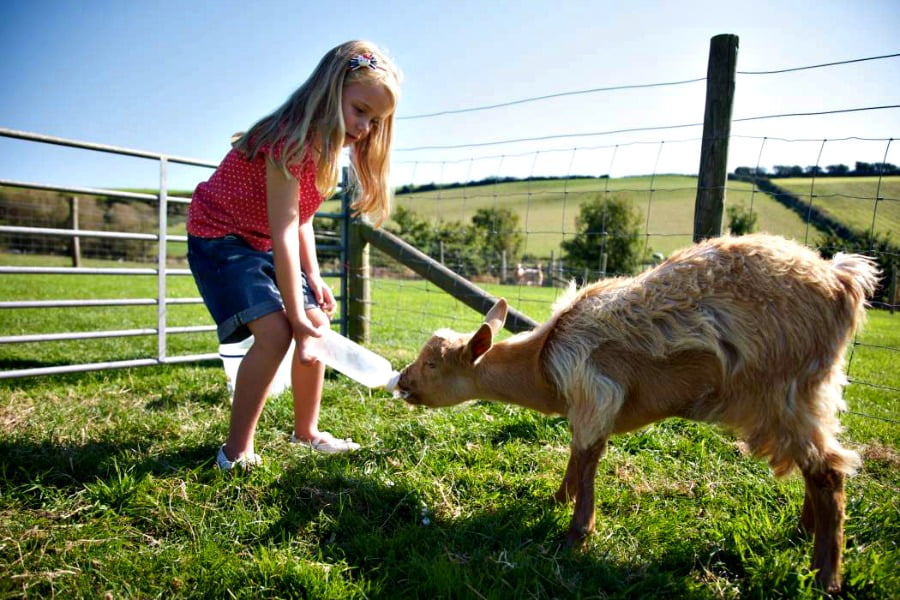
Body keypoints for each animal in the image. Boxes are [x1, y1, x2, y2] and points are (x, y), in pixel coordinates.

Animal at [396, 232, 880, 592]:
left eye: (433, 364)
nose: (401, 383)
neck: (542, 362)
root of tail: (842, 280)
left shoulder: (595, 392)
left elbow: (587, 456)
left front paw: (575, 535)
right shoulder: (586, 403)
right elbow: (576, 454)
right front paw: (557, 499)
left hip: (787, 389)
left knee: (828, 470)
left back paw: (824, 577)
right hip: (813, 391)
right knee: (816, 467)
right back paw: (804, 532)